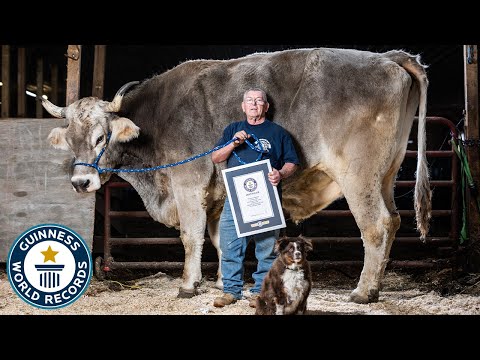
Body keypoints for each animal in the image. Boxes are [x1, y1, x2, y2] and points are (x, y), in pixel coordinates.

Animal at [42, 47, 432, 304]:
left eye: (100, 137)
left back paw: (364, 291)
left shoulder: (188, 183)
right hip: (386, 174)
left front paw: (188, 285)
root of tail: (389, 57)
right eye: (71, 140)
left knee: (376, 225)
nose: (81, 183)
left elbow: (192, 237)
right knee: (394, 220)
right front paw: (220, 283)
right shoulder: (217, 194)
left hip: (359, 177)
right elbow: (220, 239)